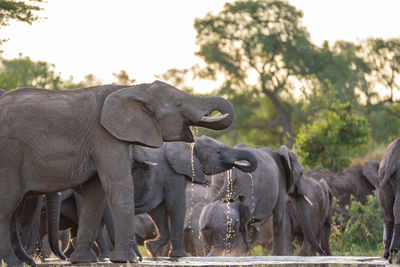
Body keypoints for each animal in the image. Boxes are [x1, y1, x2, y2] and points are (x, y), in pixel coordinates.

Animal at [0, 80, 234, 266]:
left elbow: (95, 194)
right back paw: (15, 263)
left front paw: (83, 260)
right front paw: (125, 260)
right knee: (7, 205)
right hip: (10, 156)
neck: (133, 89)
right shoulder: (105, 136)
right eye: (178, 105)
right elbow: (119, 184)